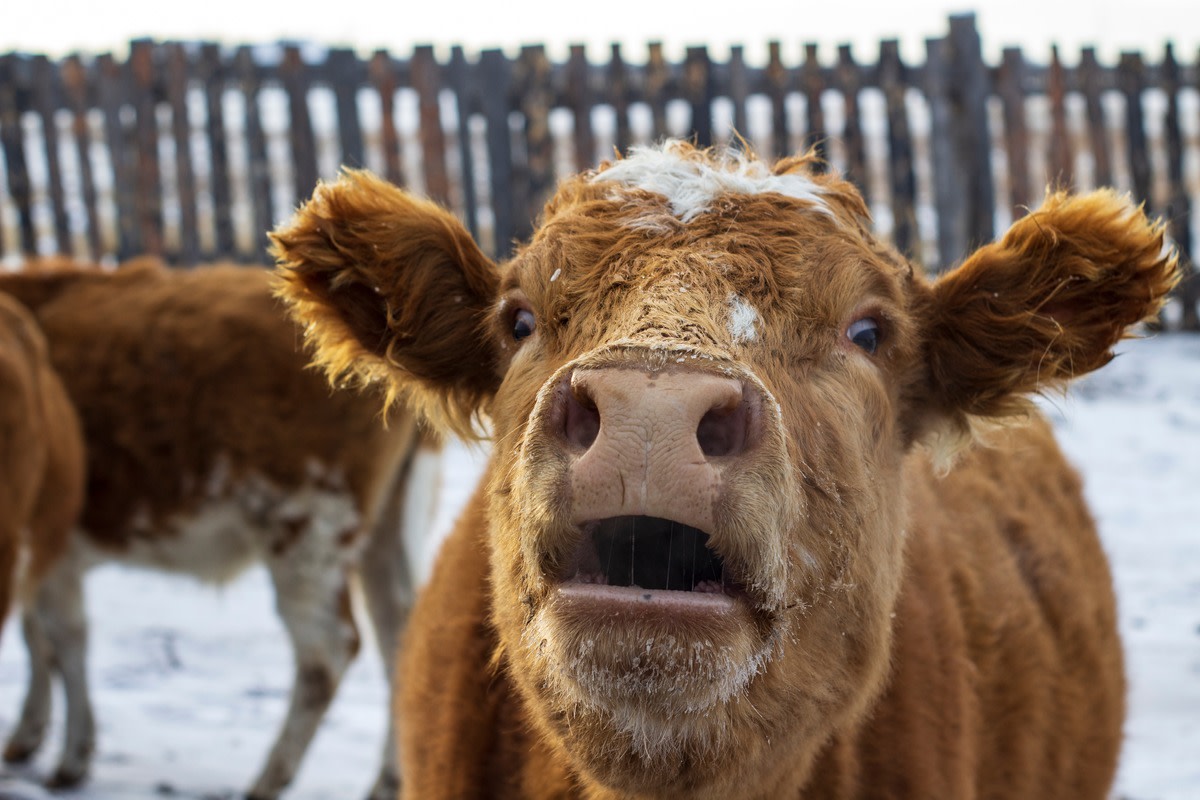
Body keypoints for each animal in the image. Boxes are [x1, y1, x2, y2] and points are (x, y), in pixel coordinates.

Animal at [0, 258, 436, 799]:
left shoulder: (52, 545)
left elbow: (62, 640)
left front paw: (72, 755)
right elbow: (37, 637)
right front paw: (28, 732)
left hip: (310, 532)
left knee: (327, 652)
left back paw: (268, 779)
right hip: (386, 531)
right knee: (402, 634)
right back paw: (388, 780)